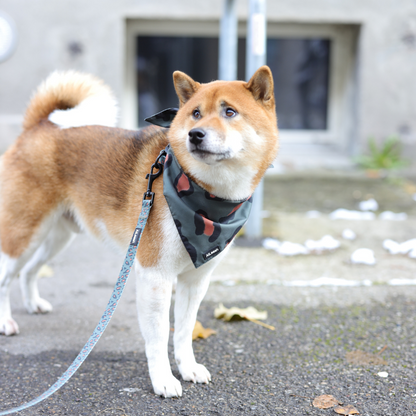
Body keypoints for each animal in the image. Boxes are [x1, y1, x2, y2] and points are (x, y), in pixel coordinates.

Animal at [0, 66, 280, 398]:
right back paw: (5, 321)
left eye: (230, 112)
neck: (208, 198)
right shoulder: (155, 275)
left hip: (57, 236)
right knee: (6, 276)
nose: (195, 134)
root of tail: (38, 127)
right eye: (196, 113)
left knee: (29, 270)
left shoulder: (196, 279)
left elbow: (183, 331)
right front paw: (163, 380)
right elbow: (158, 336)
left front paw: (188, 368)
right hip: (24, 232)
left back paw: (33, 304)